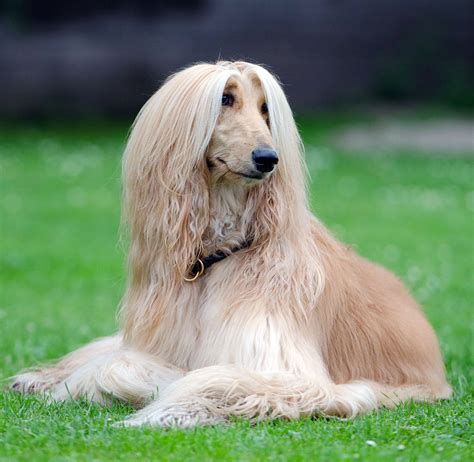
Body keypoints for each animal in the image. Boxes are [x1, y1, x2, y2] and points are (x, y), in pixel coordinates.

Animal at [12, 62, 452, 430]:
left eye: (266, 108)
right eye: (226, 99)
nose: (268, 158)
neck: (222, 251)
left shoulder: (291, 372)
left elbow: (191, 376)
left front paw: (159, 406)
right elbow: (116, 359)